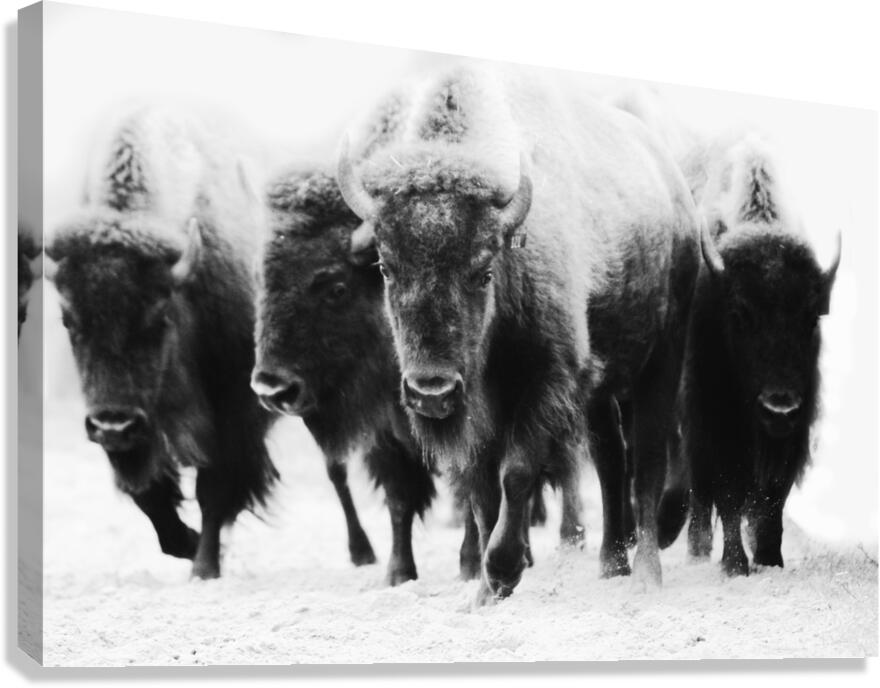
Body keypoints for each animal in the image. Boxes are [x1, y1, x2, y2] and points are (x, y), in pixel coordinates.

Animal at [46, 109, 278, 579]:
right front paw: (188, 545)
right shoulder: (137, 429)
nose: (112, 425)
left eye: (158, 317)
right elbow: (150, 496)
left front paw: (204, 566)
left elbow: (215, 487)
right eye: (68, 320)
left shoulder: (235, 408)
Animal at [338, 65, 701, 602]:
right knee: (611, 462)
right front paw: (486, 591)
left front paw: (504, 569)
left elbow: (517, 473)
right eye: (385, 267)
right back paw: (610, 564)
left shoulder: (545, 381)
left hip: (661, 359)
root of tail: (675, 188)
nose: (431, 392)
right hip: (598, 389)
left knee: (648, 461)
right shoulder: (484, 409)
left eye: (483, 269)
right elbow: (482, 492)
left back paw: (647, 574)